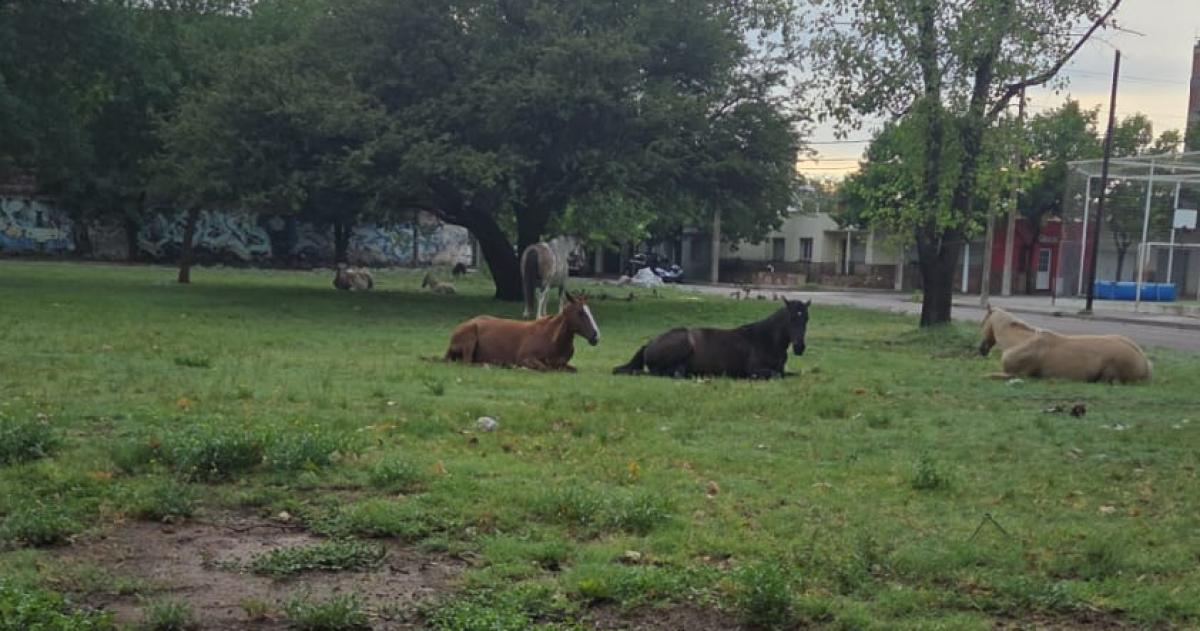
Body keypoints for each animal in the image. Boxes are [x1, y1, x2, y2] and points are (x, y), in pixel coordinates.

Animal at [445, 291, 600, 371]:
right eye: (580, 312)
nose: (595, 336)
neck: (553, 339)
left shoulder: (562, 364)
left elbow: (571, 369)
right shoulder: (525, 358)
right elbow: (545, 368)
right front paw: (519, 367)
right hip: (469, 340)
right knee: (467, 362)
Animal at [612, 298, 811, 379]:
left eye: (806, 318)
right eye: (791, 318)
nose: (799, 347)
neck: (766, 340)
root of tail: (649, 343)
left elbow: (788, 374)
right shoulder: (754, 370)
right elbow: (775, 375)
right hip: (682, 343)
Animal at [979, 306, 1152, 383]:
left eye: (983, 322)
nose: (981, 349)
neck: (1020, 342)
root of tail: (1144, 361)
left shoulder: (1016, 375)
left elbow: (988, 375)